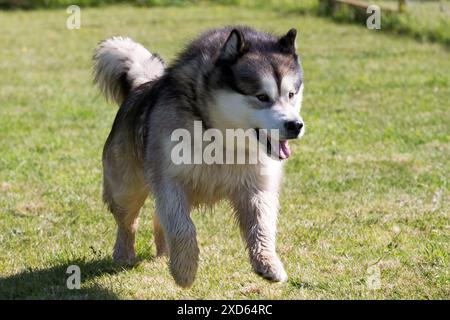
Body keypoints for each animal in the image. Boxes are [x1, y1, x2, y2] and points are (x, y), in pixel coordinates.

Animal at [95, 26, 306, 288]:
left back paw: (164, 252)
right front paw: (185, 269)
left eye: (291, 94)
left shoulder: (258, 185)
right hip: (125, 187)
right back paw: (124, 254)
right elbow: (182, 227)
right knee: (128, 221)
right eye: (262, 97)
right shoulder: (169, 180)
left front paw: (268, 263)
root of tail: (142, 86)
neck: (221, 136)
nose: (295, 125)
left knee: (157, 216)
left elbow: (262, 224)